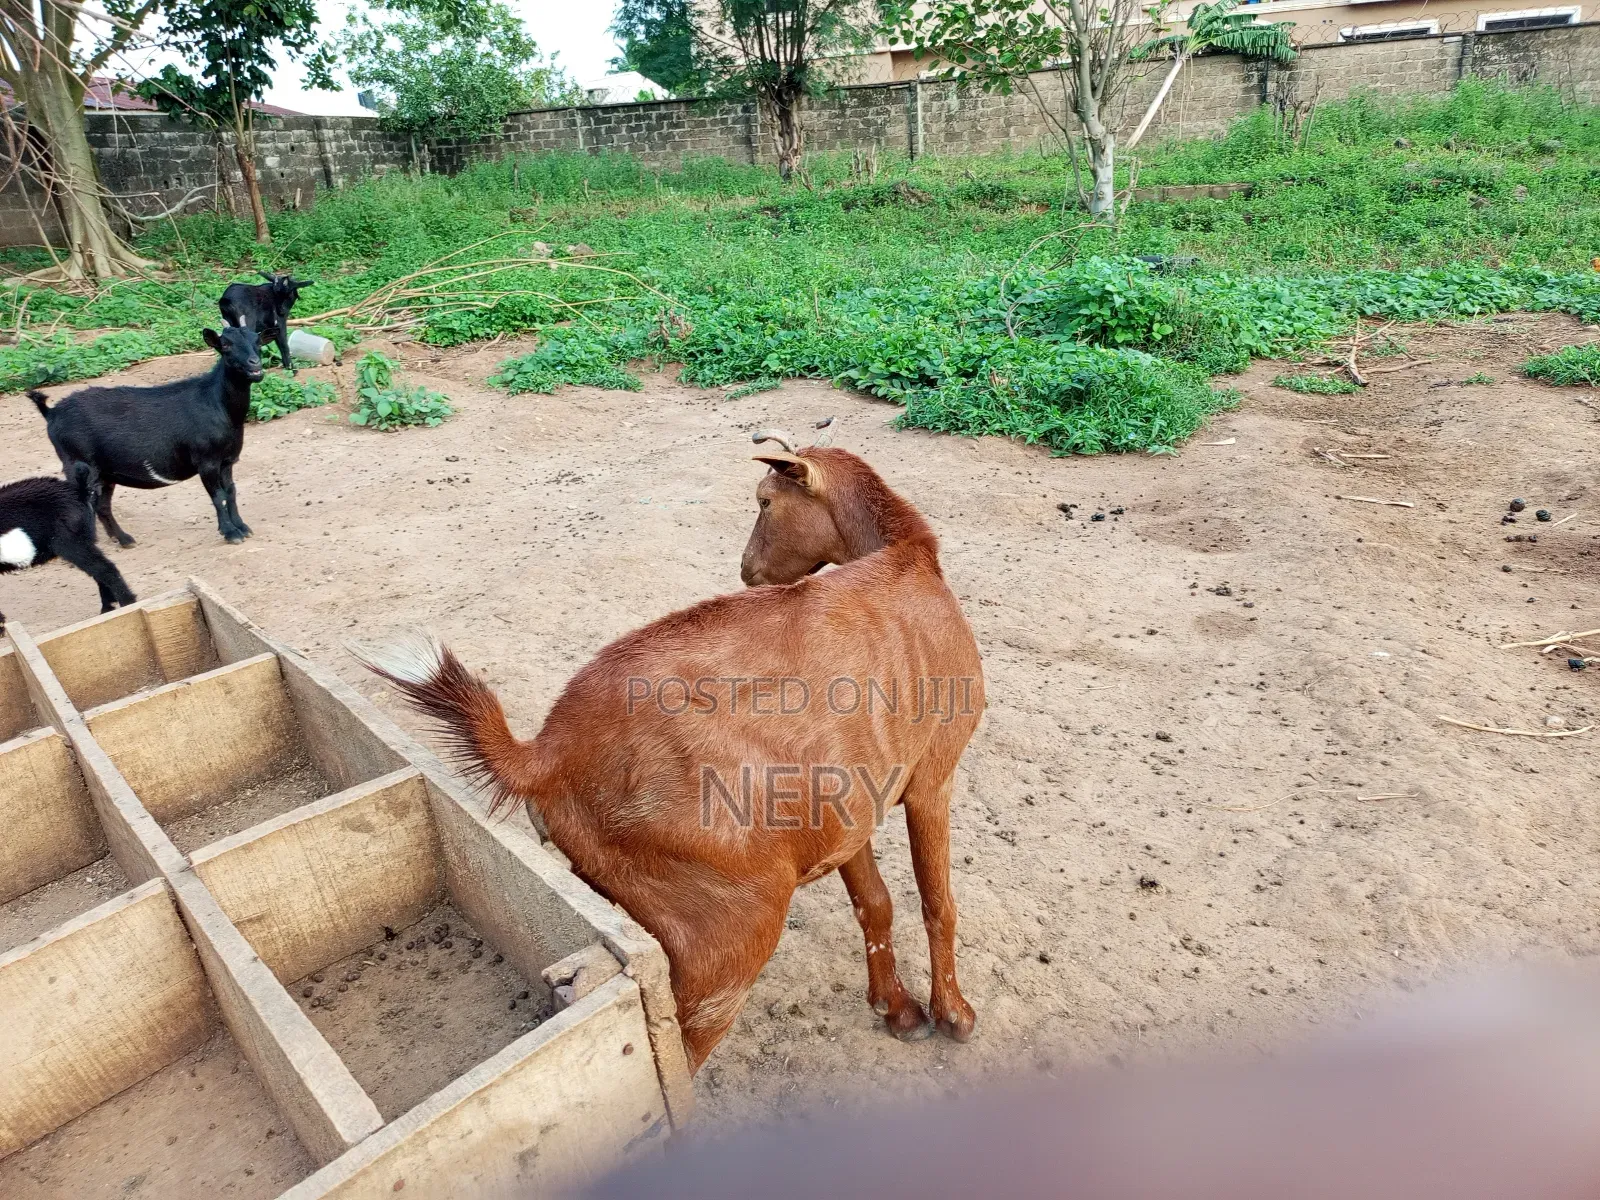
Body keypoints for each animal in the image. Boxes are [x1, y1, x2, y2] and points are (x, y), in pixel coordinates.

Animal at [0, 466, 136, 635]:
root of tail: (79, 491)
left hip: (70, 543)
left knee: (104, 569)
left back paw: (127, 603)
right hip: (85, 538)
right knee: (98, 571)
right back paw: (107, 608)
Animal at [30, 326, 265, 547]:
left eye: (257, 340)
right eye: (225, 345)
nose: (255, 365)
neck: (217, 403)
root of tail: (51, 413)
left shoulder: (227, 460)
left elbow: (231, 491)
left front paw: (242, 527)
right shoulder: (206, 461)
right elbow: (218, 496)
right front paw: (231, 533)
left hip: (105, 472)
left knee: (102, 505)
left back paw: (124, 539)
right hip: (77, 463)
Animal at [353, 422, 985, 1072]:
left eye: (764, 501)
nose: (748, 571)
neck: (909, 557)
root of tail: (545, 753)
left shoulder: (849, 809)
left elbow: (876, 903)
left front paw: (898, 1011)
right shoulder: (934, 774)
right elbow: (939, 902)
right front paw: (954, 1016)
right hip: (723, 930)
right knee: (679, 1047)